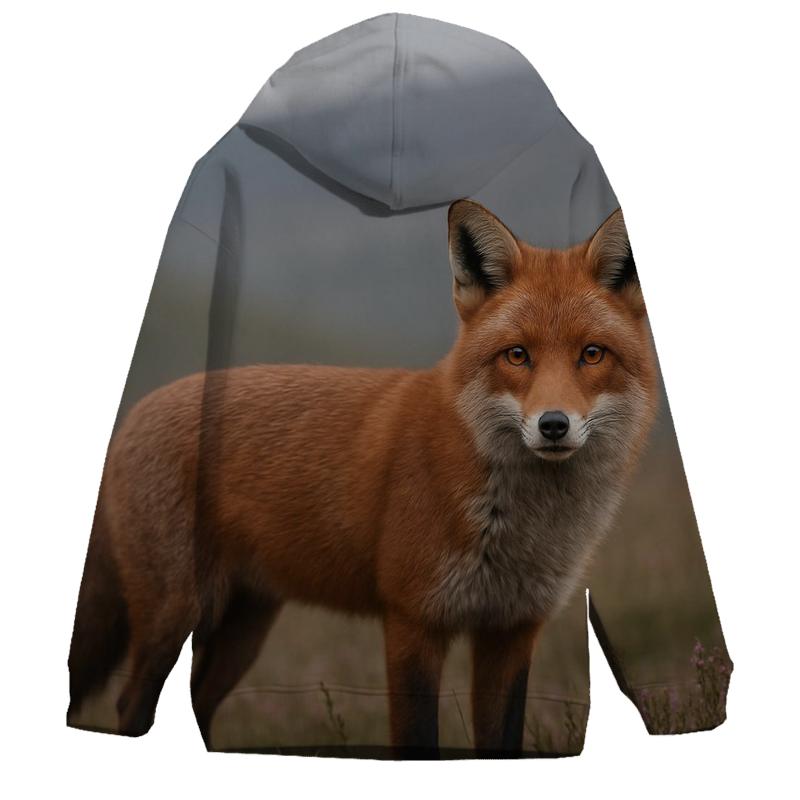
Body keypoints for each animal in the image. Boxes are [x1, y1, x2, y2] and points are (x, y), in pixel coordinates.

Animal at [68, 199, 658, 757]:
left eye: (591, 354)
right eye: (517, 355)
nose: (553, 425)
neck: (519, 526)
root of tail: (136, 411)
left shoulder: (511, 631)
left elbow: (502, 743)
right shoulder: (412, 620)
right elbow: (417, 742)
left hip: (244, 627)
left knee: (196, 701)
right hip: (175, 614)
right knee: (130, 703)